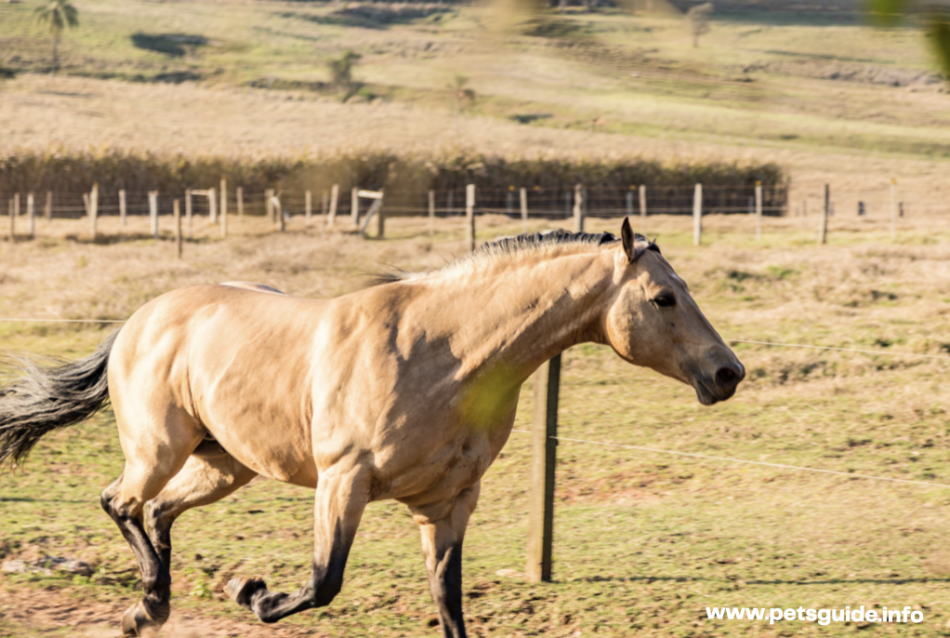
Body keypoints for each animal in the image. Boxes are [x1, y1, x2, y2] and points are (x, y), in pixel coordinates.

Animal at [0, 221, 744, 638]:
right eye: (663, 298)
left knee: (156, 511)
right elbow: (323, 582)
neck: (446, 355)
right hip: (160, 448)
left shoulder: (448, 505)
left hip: (224, 464)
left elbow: (449, 603)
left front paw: (249, 590)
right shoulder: (344, 479)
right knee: (121, 501)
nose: (727, 372)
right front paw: (253, 594)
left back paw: (153, 605)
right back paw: (147, 609)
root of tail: (139, 319)